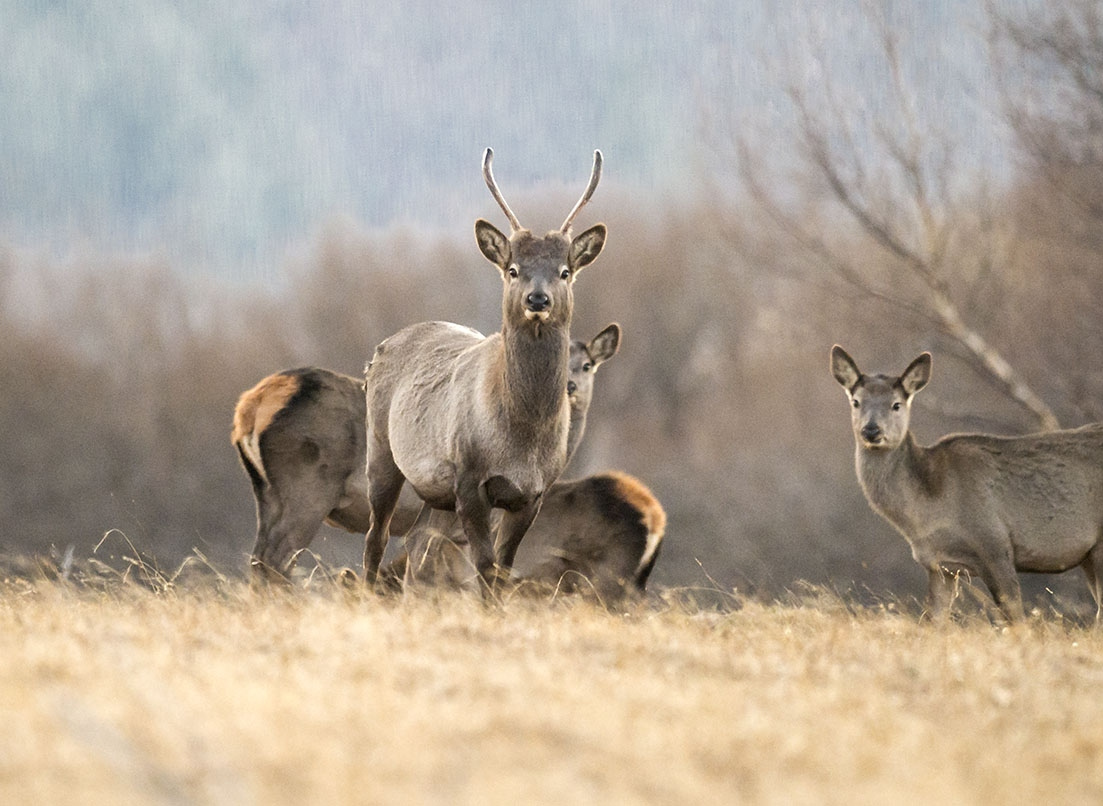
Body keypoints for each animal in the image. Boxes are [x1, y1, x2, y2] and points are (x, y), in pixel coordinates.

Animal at [232, 323, 620, 582]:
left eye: (588, 364)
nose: (570, 387)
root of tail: (250, 407)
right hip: (309, 489)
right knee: (276, 558)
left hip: (267, 493)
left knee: (259, 557)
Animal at [362, 148, 607, 591]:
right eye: (513, 269)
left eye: (565, 271)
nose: (538, 299)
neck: (521, 440)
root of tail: (379, 351)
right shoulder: (469, 477)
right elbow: (487, 571)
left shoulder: (533, 494)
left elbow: (502, 570)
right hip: (381, 449)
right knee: (378, 536)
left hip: (435, 493)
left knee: (416, 542)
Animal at [830, 345, 1103, 622]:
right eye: (856, 402)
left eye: (896, 404)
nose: (871, 430)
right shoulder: (939, 566)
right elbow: (934, 620)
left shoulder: (995, 544)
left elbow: (1016, 618)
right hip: (1088, 556)